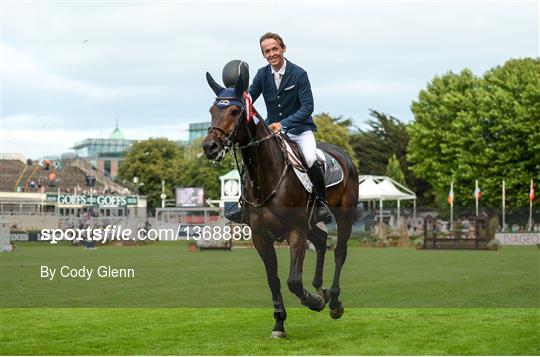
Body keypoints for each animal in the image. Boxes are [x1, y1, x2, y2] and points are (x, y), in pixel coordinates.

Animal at [200, 71, 356, 338]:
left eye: (234, 111)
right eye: (211, 110)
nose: (210, 147)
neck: (266, 175)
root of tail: (342, 154)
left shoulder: (295, 231)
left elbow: (293, 280)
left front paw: (313, 302)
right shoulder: (261, 236)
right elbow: (273, 279)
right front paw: (279, 323)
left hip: (343, 216)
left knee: (339, 252)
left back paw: (333, 300)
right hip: (311, 222)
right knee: (321, 241)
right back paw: (320, 289)